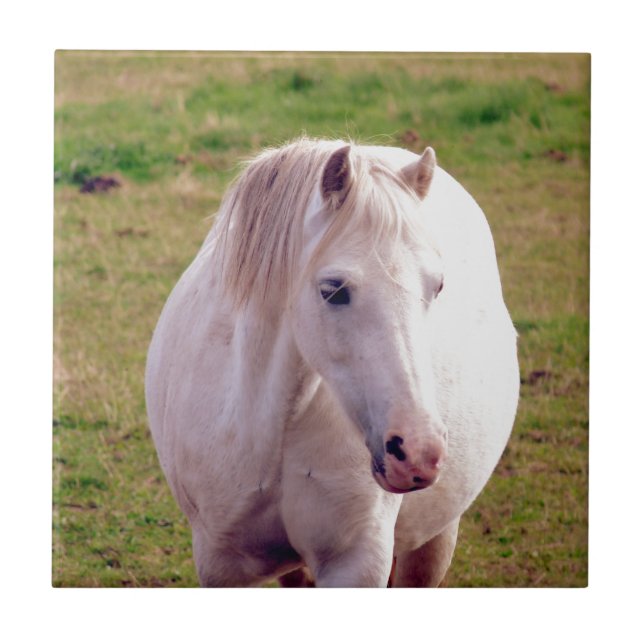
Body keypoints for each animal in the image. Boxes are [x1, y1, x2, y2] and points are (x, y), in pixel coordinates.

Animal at [145, 138, 520, 587]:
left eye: (439, 286)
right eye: (334, 290)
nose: (417, 451)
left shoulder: (354, 565)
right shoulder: (222, 564)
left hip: (435, 538)